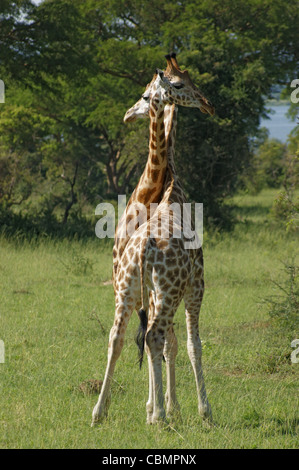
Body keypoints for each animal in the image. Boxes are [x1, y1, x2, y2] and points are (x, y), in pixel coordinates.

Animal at [92, 56, 216, 426]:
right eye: (180, 84)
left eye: (147, 95)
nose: (208, 103)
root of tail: (144, 249)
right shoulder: (196, 286)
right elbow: (191, 343)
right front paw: (200, 410)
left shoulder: (152, 293)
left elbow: (165, 345)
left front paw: (164, 404)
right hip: (166, 291)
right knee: (154, 336)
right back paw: (159, 414)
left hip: (130, 290)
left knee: (120, 337)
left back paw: (101, 412)